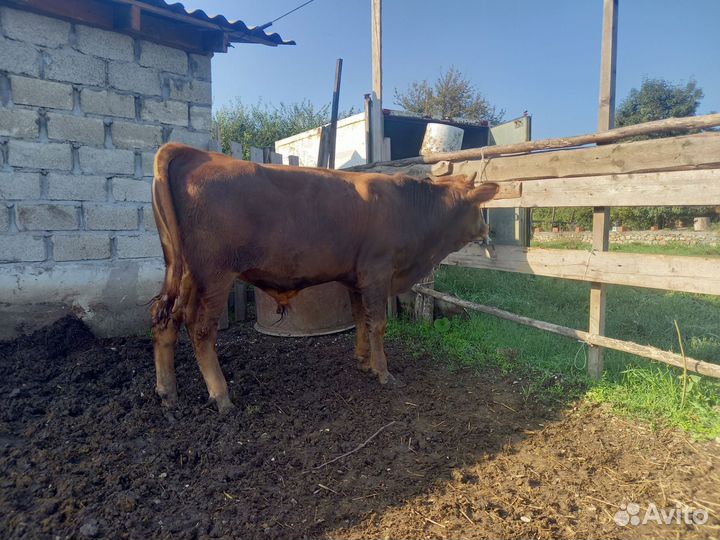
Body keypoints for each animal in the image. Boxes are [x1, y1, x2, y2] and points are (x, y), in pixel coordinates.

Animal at [150, 143, 498, 412]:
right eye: (480, 207)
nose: (488, 232)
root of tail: (194, 152)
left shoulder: (356, 278)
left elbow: (361, 320)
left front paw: (364, 362)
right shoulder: (377, 272)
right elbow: (378, 323)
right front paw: (384, 373)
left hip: (182, 274)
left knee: (166, 320)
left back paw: (168, 393)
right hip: (215, 275)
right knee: (200, 330)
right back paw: (221, 395)